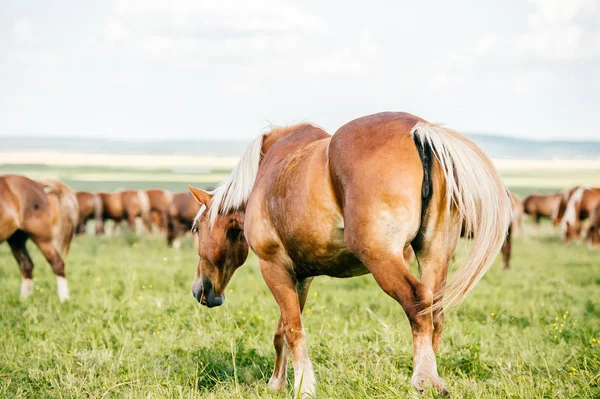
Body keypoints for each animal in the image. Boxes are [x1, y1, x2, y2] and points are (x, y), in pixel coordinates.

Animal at [185, 111, 508, 396]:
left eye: (197, 228)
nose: (201, 291)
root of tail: (419, 130)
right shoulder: (301, 278)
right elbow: (282, 333)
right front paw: (276, 384)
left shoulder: (273, 267)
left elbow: (292, 330)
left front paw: (303, 387)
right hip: (433, 254)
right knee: (434, 313)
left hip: (382, 258)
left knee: (417, 302)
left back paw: (424, 380)